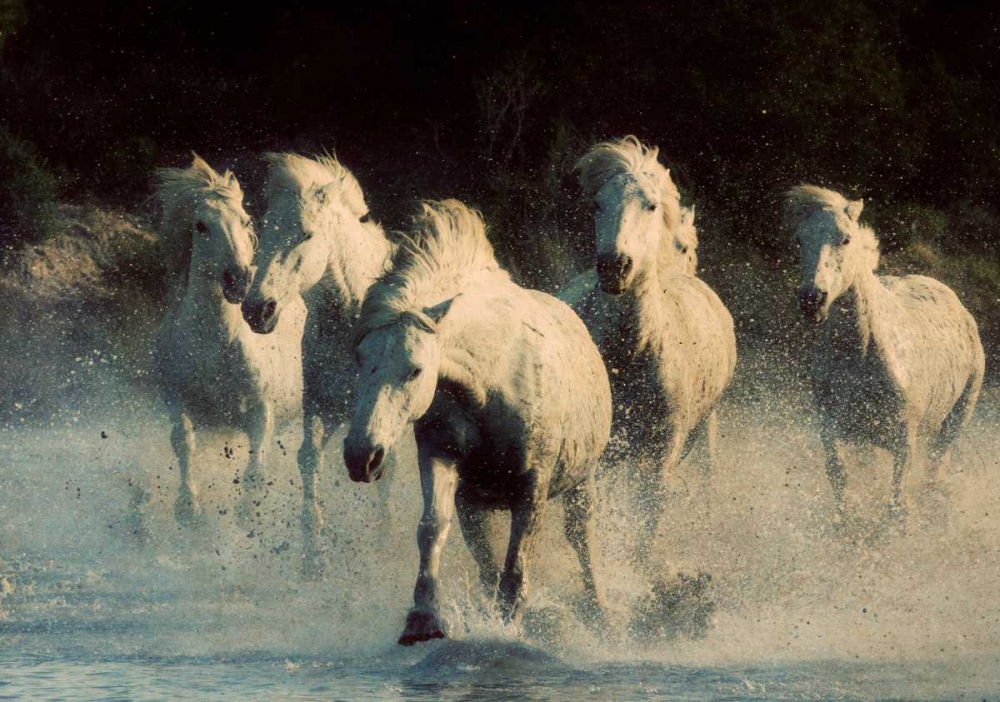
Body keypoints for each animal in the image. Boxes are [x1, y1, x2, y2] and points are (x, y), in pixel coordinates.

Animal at [153, 154, 306, 525]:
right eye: (201, 226)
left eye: (246, 220)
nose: (239, 279)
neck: (213, 348)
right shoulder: (178, 401)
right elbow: (183, 442)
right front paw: (188, 507)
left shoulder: (262, 411)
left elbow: (255, 469)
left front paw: (248, 514)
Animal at [240, 152, 394, 572]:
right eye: (263, 230)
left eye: (306, 234)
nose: (257, 310)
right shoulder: (321, 407)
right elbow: (308, 459)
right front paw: (312, 555)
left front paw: (385, 545)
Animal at [343, 199, 613, 645]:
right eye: (361, 359)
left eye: (415, 370)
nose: (361, 457)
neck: (491, 379)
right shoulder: (441, 459)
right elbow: (432, 528)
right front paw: (422, 620)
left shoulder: (533, 485)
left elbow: (517, 562)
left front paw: (507, 630)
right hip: (477, 505)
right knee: (486, 565)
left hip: (582, 480)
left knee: (582, 538)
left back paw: (599, 610)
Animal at [559, 136, 737, 573]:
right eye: (597, 204)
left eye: (651, 205)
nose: (614, 266)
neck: (631, 352)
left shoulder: (662, 452)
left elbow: (646, 524)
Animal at [785, 185, 985, 524]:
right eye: (800, 239)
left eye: (845, 239)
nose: (812, 299)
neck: (861, 356)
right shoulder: (831, 431)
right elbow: (840, 480)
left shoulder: (904, 440)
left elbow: (897, 502)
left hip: (955, 421)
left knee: (935, 473)